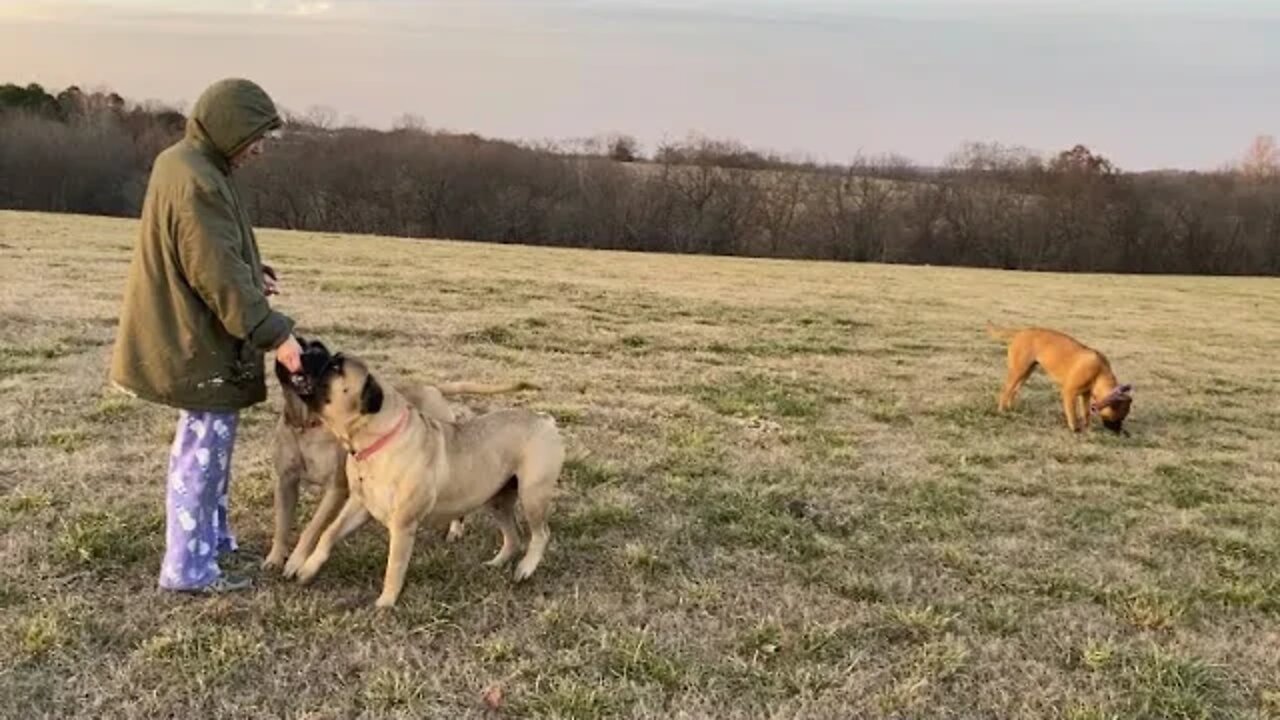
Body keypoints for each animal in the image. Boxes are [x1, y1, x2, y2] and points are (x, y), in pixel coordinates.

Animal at [983, 324, 1136, 430]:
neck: (1099, 372)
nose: (1120, 432)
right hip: (1017, 371)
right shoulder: (1069, 392)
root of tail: (1021, 332)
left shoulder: (1085, 395)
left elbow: (1086, 412)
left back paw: (1010, 407)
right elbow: (1072, 413)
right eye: (1119, 418)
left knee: (1014, 391)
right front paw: (1075, 428)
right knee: (1006, 390)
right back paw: (1002, 410)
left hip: (1026, 372)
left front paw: (1087, 426)